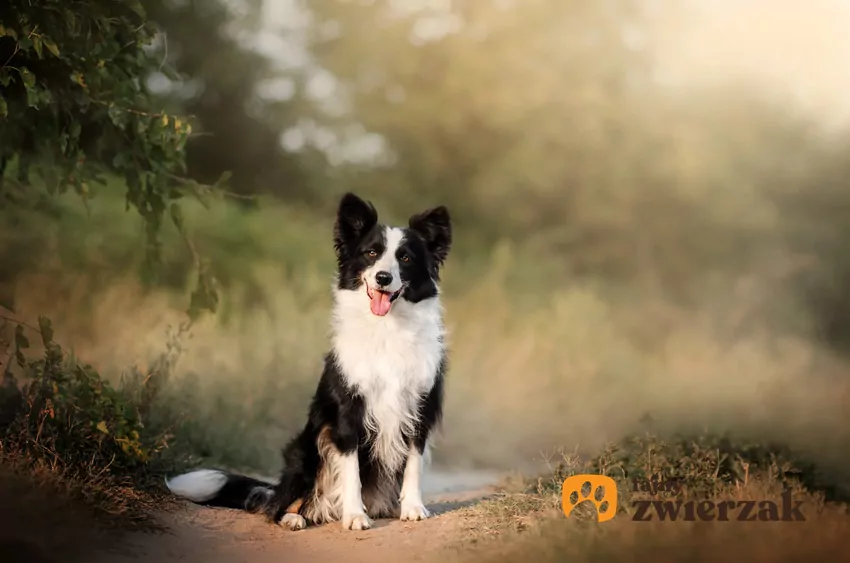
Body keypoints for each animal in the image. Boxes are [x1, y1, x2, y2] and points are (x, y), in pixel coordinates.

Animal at [167, 192, 458, 532]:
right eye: (371, 253)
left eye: (406, 258)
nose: (383, 277)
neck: (386, 327)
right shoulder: (347, 412)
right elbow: (352, 471)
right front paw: (354, 515)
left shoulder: (419, 406)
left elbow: (413, 462)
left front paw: (412, 507)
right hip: (306, 451)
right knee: (279, 504)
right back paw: (294, 516)